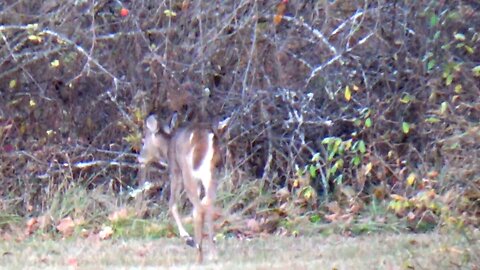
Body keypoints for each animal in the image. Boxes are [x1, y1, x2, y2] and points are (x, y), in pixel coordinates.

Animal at [135, 114, 225, 264]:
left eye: (144, 140)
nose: (140, 158)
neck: (167, 147)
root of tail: (209, 137)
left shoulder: (175, 170)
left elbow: (172, 203)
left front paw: (187, 237)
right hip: (211, 173)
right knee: (208, 204)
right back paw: (213, 253)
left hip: (188, 171)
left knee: (199, 207)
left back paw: (198, 254)